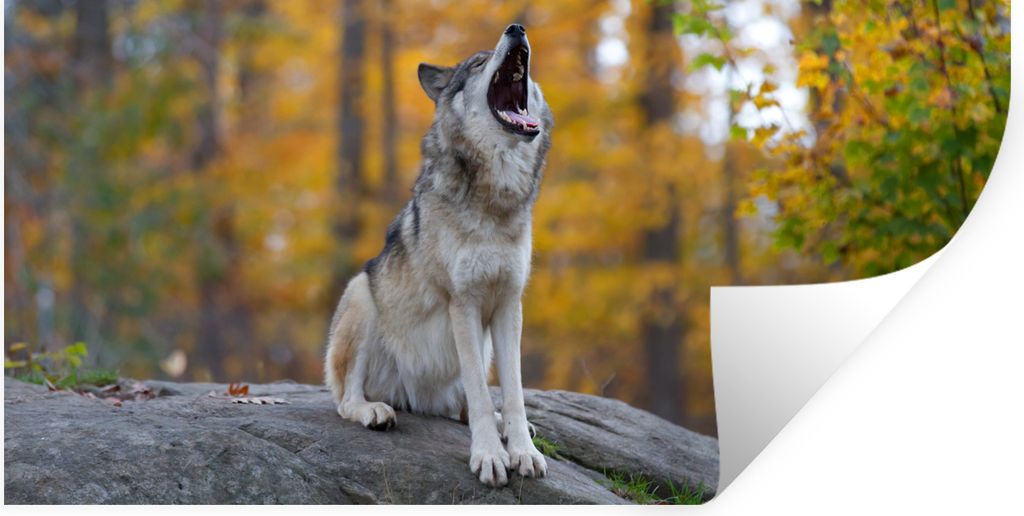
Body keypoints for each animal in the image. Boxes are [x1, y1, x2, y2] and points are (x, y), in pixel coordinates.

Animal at [324, 24, 554, 487]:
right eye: (478, 63)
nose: (517, 28)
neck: (495, 198)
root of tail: (417, 398)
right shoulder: (462, 303)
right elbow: (483, 397)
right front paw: (490, 456)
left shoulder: (508, 304)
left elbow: (513, 394)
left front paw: (522, 450)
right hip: (362, 294)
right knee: (346, 400)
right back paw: (375, 411)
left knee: (464, 404)